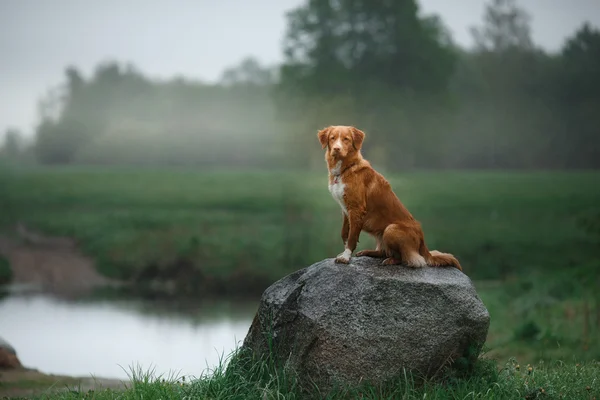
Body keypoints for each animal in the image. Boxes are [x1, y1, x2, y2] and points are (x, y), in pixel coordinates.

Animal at [318, 124, 464, 272]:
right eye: (332, 138)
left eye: (346, 139)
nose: (337, 149)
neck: (345, 169)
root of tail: (423, 243)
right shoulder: (345, 210)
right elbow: (344, 233)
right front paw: (344, 252)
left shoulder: (356, 209)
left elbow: (352, 236)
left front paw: (346, 257)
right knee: (384, 251)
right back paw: (369, 252)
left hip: (391, 229)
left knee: (406, 258)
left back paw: (391, 260)